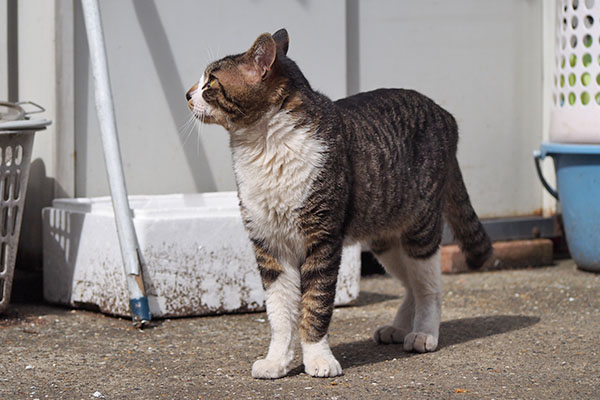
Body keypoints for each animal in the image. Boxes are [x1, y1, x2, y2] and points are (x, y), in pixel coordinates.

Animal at [186, 28, 492, 378]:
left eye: (211, 81)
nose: (188, 94)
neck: (263, 146)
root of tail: (445, 114)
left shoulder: (322, 241)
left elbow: (315, 305)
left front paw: (318, 358)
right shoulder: (270, 247)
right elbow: (279, 314)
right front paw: (277, 361)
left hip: (420, 230)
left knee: (429, 287)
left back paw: (423, 333)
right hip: (385, 239)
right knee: (411, 285)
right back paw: (398, 328)